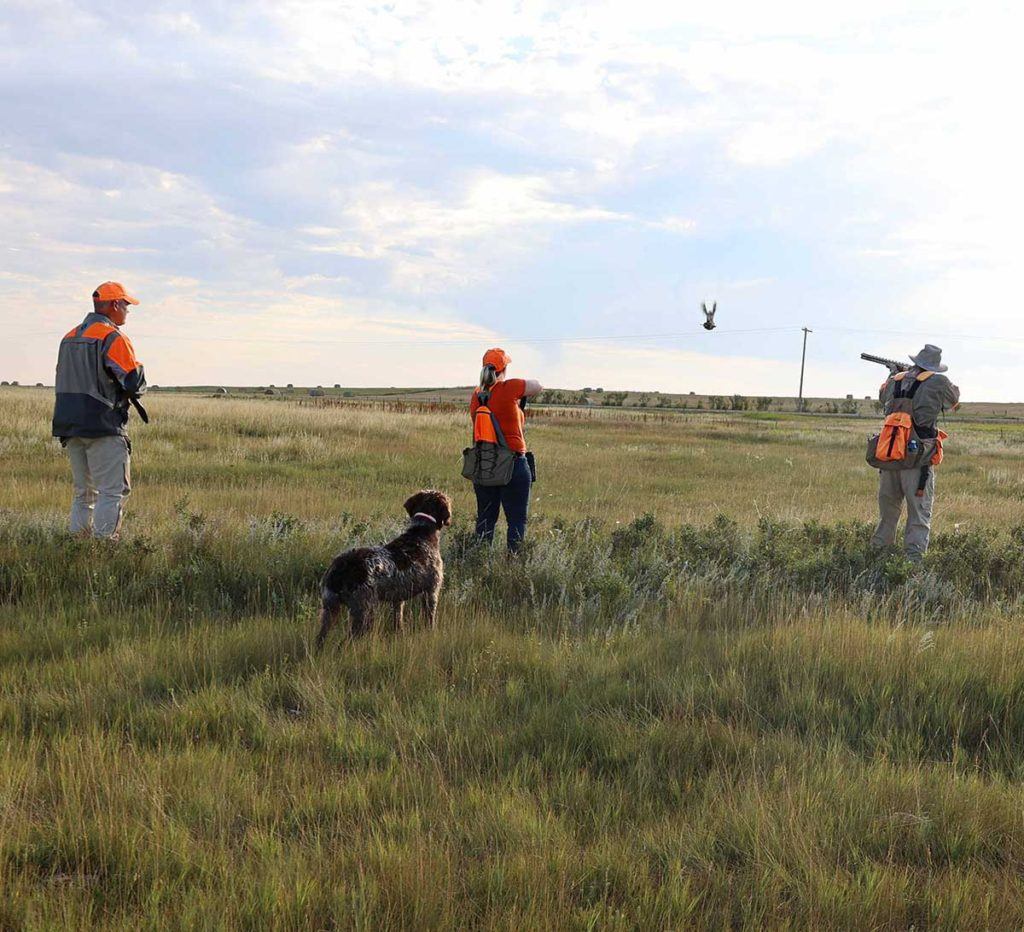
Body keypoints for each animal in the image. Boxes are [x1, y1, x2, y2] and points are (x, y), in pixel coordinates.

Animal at [315, 491, 452, 651]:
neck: (422, 533)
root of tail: (340, 567)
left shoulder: (398, 599)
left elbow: (398, 621)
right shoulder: (431, 591)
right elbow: (430, 620)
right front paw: (432, 635)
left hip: (329, 610)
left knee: (320, 639)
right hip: (364, 612)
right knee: (344, 643)